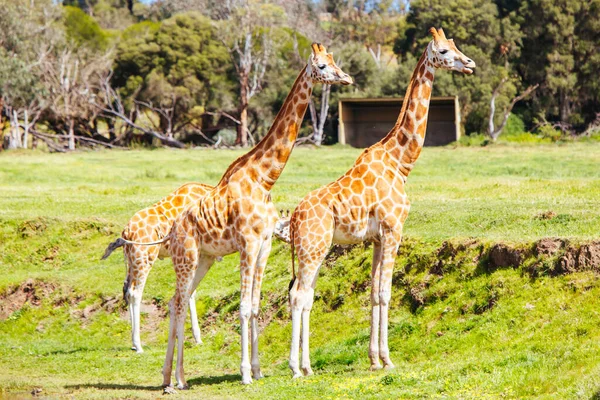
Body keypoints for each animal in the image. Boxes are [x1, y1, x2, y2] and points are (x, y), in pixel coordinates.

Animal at [288, 28, 476, 378]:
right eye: (444, 51)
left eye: (456, 46)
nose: (470, 64)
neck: (400, 162)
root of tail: (293, 218)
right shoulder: (393, 230)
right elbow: (387, 293)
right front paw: (388, 359)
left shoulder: (376, 238)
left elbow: (374, 294)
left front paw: (374, 359)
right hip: (312, 249)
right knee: (297, 296)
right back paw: (295, 368)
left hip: (315, 250)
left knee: (305, 296)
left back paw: (306, 366)